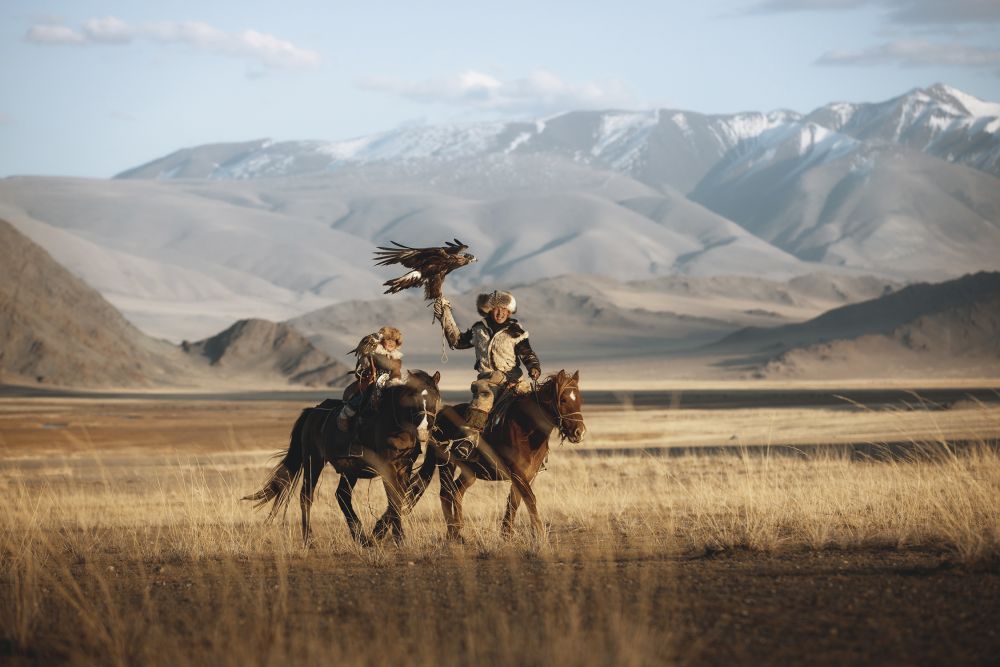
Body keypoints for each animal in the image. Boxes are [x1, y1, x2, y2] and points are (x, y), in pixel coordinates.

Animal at [244, 370, 440, 548]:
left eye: (435, 397)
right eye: (412, 399)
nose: (424, 429)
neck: (394, 423)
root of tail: (312, 412)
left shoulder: (405, 467)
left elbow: (398, 498)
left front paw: (378, 534)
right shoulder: (388, 467)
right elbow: (394, 499)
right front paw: (397, 538)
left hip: (349, 469)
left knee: (342, 495)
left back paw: (361, 537)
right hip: (313, 461)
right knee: (306, 496)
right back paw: (310, 540)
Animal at [408, 370, 584, 544]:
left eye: (579, 399)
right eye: (563, 399)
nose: (579, 432)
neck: (526, 429)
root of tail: (440, 415)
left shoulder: (528, 474)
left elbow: (515, 501)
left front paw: (507, 535)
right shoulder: (517, 472)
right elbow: (529, 498)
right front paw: (539, 535)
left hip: (470, 472)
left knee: (457, 490)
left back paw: (459, 530)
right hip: (447, 463)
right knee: (446, 493)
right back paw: (454, 534)